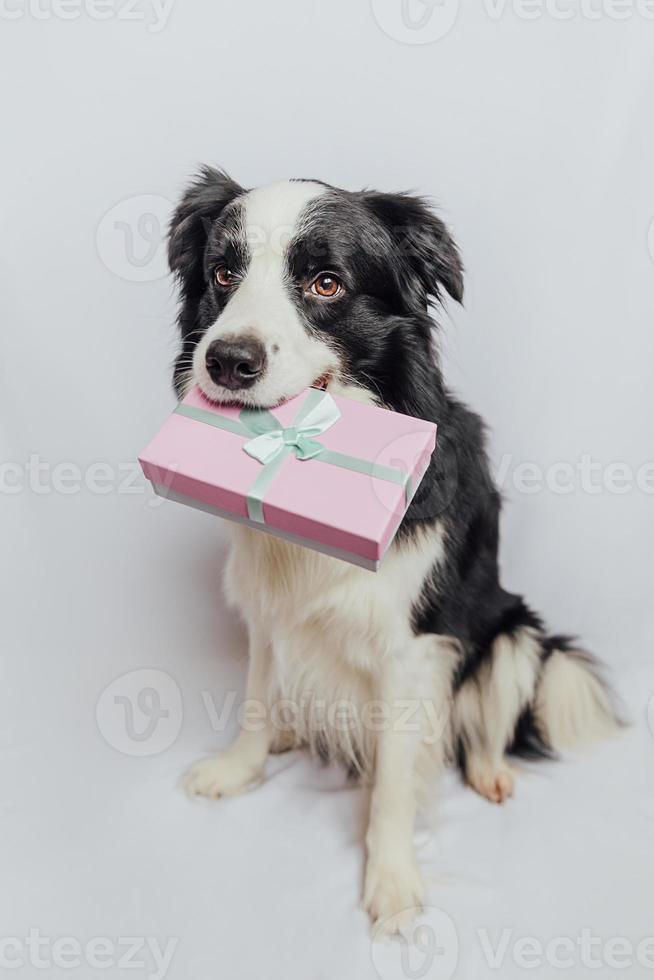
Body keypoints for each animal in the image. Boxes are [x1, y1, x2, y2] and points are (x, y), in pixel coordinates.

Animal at [169, 168, 620, 936]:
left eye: (325, 283)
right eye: (223, 274)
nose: (227, 361)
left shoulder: (412, 650)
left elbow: (392, 784)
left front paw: (392, 881)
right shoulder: (265, 610)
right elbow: (256, 699)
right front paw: (240, 768)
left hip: (516, 633)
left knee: (491, 718)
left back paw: (490, 772)